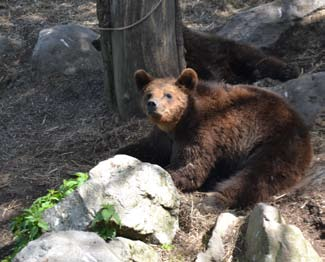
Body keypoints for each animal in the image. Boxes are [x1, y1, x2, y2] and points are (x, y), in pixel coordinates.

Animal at [116, 68, 312, 208]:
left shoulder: (202, 131)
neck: (180, 122)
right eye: (148, 94)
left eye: (168, 95)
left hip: (275, 140)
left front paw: (169, 173)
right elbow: (146, 148)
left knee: (259, 174)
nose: (152, 104)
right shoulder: (163, 137)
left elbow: (191, 167)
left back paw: (215, 199)